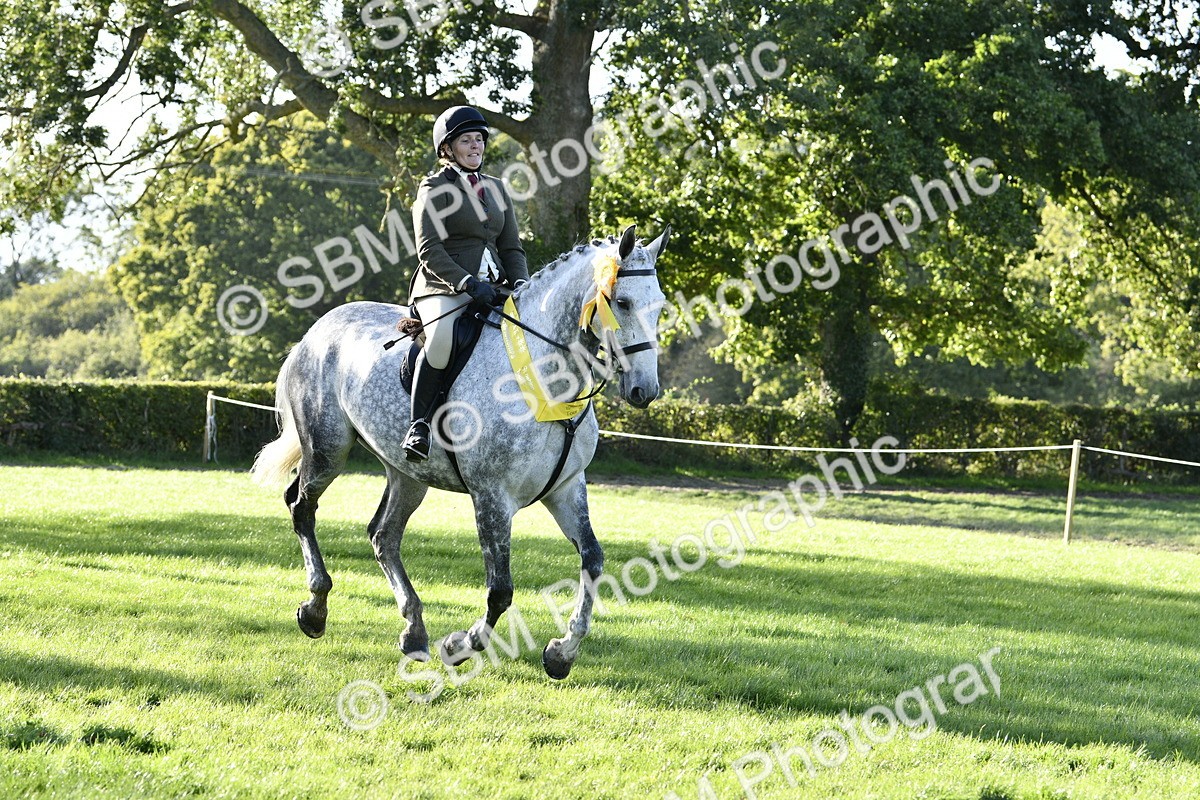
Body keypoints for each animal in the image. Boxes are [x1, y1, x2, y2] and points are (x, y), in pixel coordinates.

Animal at [250, 224, 670, 679]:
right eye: (622, 302)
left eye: (660, 306)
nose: (645, 390)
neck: (544, 378)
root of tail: (315, 331)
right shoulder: (492, 497)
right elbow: (500, 590)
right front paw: (460, 646)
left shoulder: (566, 489)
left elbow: (593, 563)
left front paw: (561, 653)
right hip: (328, 451)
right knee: (302, 507)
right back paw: (315, 609)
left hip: (408, 475)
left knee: (383, 535)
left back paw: (413, 631)